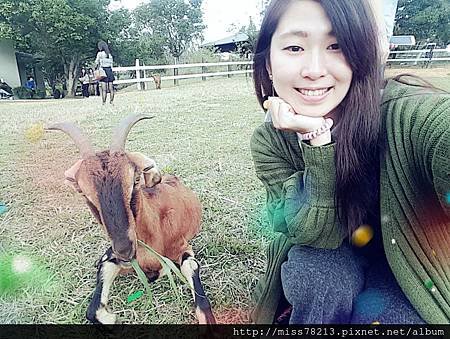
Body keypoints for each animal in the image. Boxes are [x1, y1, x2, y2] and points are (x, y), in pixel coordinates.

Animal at [46, 115, 215, 326]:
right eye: (83, 192)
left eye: (135, 181)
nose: (125, 250)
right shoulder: (112, 256)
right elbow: (93, 309)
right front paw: (110, 315)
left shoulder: (183, 247)